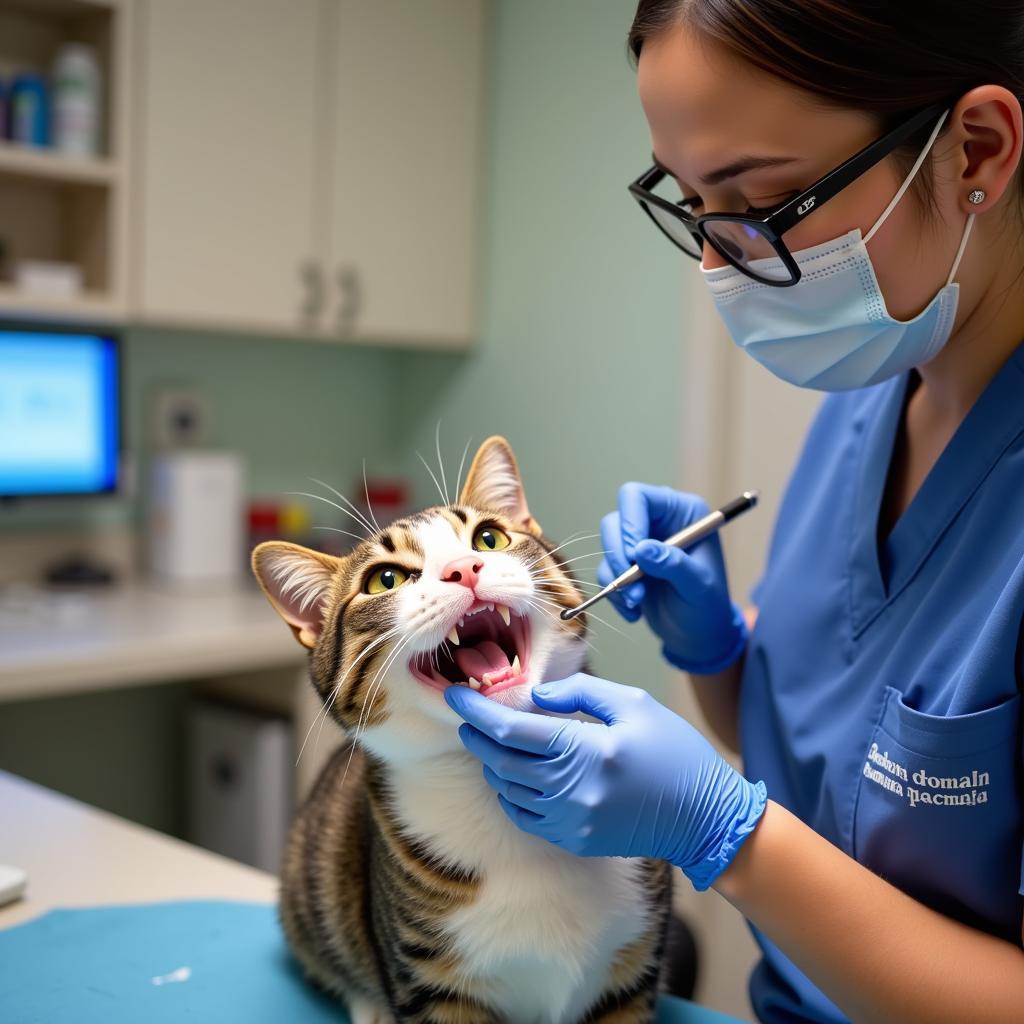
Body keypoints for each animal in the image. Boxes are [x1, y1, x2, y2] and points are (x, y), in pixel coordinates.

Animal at [251, 436, 675, 1019]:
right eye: (385, 579)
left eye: (489, 538)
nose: (464, 568)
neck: (493, 782)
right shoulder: (432, 987)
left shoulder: (634, 973)